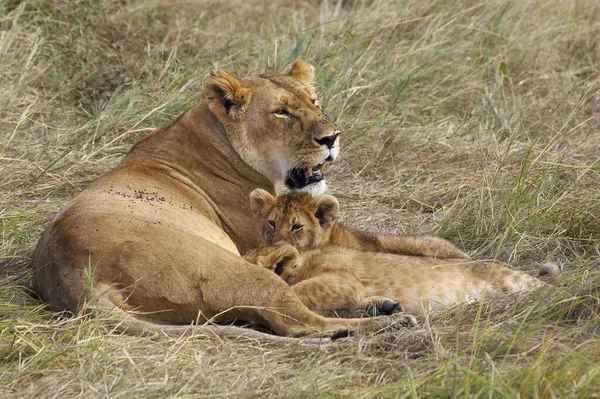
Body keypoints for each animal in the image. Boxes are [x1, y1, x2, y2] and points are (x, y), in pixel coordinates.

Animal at [30, 60, 464, 338]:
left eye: (315, 103)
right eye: (282, 113)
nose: (332, 137)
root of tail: (74, 281)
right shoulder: (270, 232)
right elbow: (375, 239)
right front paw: (451, 253)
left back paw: (380, 307)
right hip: (231, 269)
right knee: (300, 322)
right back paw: (385, 322)